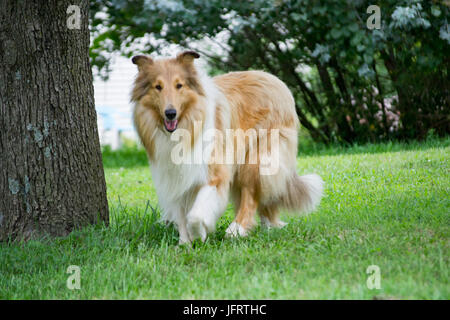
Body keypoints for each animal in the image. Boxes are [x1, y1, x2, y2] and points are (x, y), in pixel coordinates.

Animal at [131, 51, 324, 244]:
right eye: (158, 87)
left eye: (179, 85)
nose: (170, 113)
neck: (187, 125)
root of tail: (274, 79)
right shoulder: (175, 176)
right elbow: (180, 214)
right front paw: (184, 243)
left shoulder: (214, 173)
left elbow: (195, 216)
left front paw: (199, 234)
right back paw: (268, 225)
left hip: (256, 160)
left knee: (250, 196)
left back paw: (237, 229)